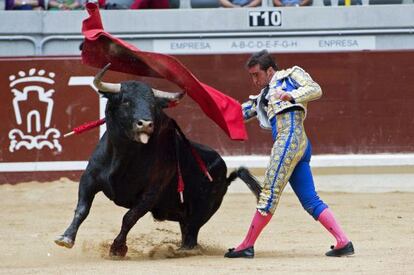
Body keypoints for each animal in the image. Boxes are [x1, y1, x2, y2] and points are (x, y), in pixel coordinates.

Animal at [53, 65, 258, 258]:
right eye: (126, 101)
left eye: (153, 105)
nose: (145, 123)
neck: (124, 154)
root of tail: (227, 174)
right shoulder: (89, 179)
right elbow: (82, 209)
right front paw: (66, 238)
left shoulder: (150, 194)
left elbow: (129, 217)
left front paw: (117, 249)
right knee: (186, 231)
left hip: (201, 211)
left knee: (191, 234)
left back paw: (182, 251)